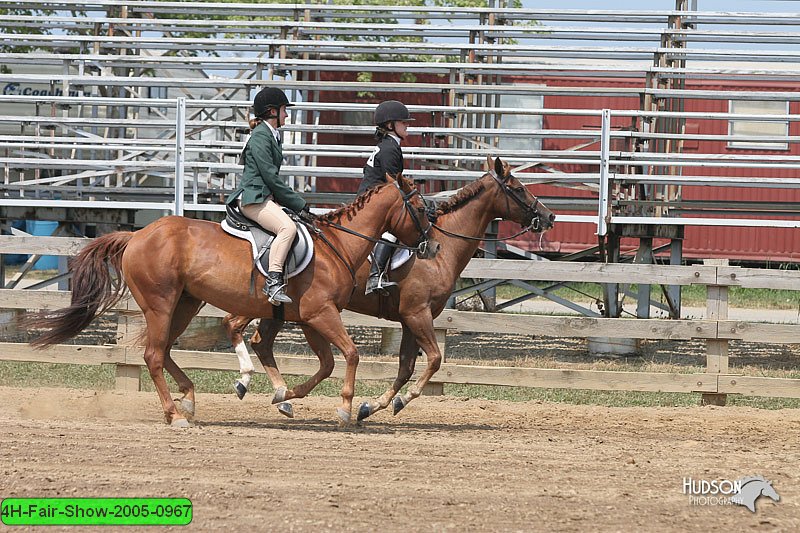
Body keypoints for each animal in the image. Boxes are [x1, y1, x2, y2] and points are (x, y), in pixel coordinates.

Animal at [28, 174, 438, 424]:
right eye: (420, 209)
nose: (432, 247)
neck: (337, 244)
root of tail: (137, 235)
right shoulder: (321, 314)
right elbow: (350, 354)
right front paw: (344, 407)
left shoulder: (310, 319)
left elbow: (325, 364)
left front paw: (286, 396)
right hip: (161, 304)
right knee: (154, 355)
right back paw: (175, 414)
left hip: (185, 304)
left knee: (165, 351)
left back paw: (189, 399)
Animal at [222, 156, 552, 418]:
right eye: (518, 188)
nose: (549, 216)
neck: (443, 248)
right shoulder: (417, 314)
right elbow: (434, 360)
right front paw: (398, 402)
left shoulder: (410, 319)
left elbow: (406, 367)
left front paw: (372, 407)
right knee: (239, 327)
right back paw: (251, 383)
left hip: (283, 310)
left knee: (260, 341)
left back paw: (280, 397)